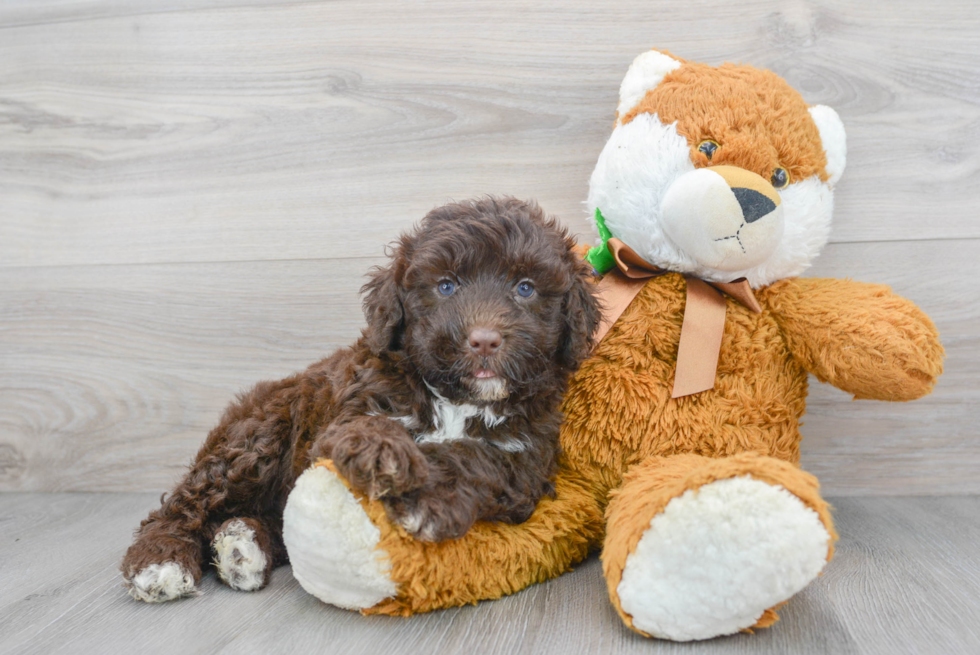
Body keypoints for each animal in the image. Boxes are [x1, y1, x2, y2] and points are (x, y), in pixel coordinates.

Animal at [120, 197, 596, 604]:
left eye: (525, 288)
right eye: (446, 285)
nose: (484, 339)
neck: (457, 398)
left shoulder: (526, 458)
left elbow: (477, 457)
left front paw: (429, 498)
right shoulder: (347, 413)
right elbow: (368, 426)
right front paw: (385, 455)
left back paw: (242, 545)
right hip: (256, 438)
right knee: (185, 504)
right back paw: (161, 561)